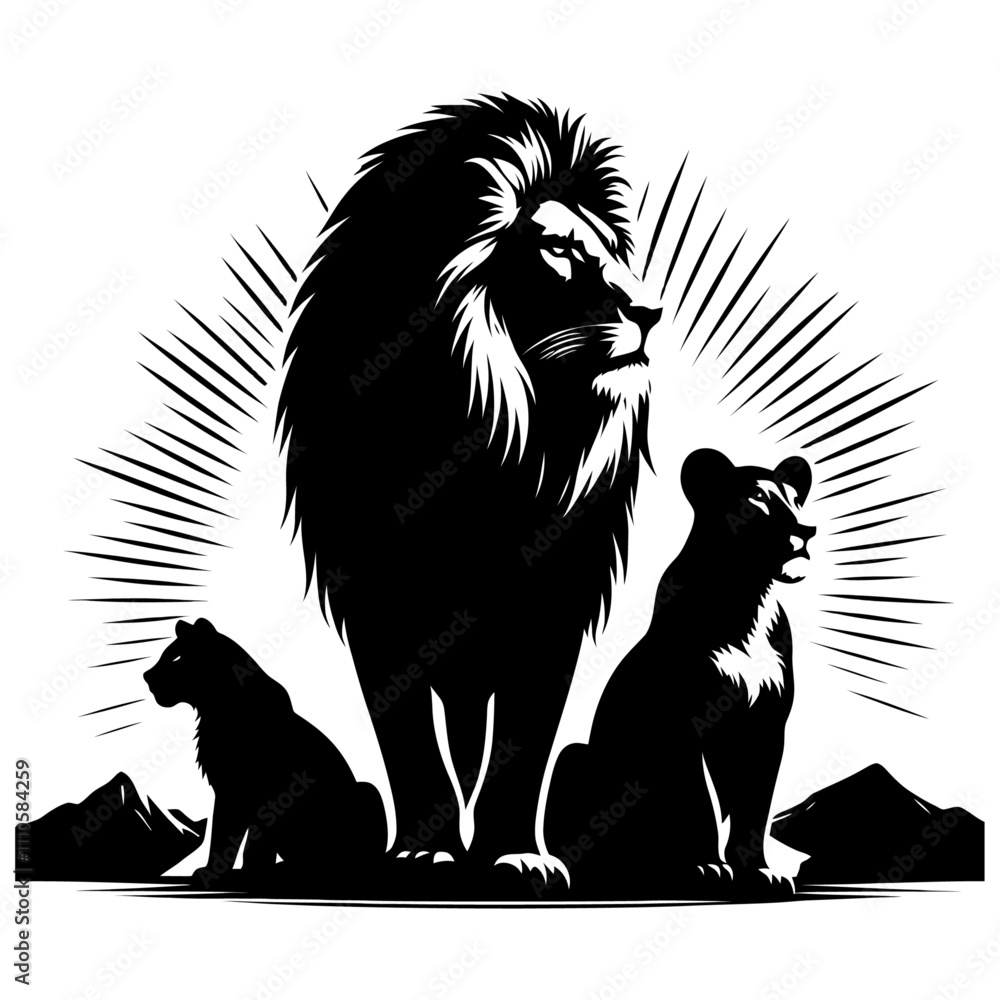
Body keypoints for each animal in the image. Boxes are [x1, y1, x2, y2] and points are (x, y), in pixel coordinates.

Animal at [143, 619, 387, 888]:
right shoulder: (229, 790)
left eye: (175, 657)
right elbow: (225, 837)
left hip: (368, 791)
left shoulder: (259, 791)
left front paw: (246, 874)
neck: (216, 706)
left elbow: (244, 841)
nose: (146, 676)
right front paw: (226, 872)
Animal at [277, 96, 663, 880]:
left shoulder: (553, 604)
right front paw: (423, 851)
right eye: (559, 251)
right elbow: (410, 744)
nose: (649, 312)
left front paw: (518, 855)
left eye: (611, 251)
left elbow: (524, 740)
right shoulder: (379, 605)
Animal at [545, 449, 815, 898]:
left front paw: (760, 873)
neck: (746, 596)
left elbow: (754, 807)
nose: (805, 530)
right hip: (574, 757)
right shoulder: (680, 721)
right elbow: (698, 800)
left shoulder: (766, 725)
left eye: (795, 500)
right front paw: (705, 869)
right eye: (757, 498)